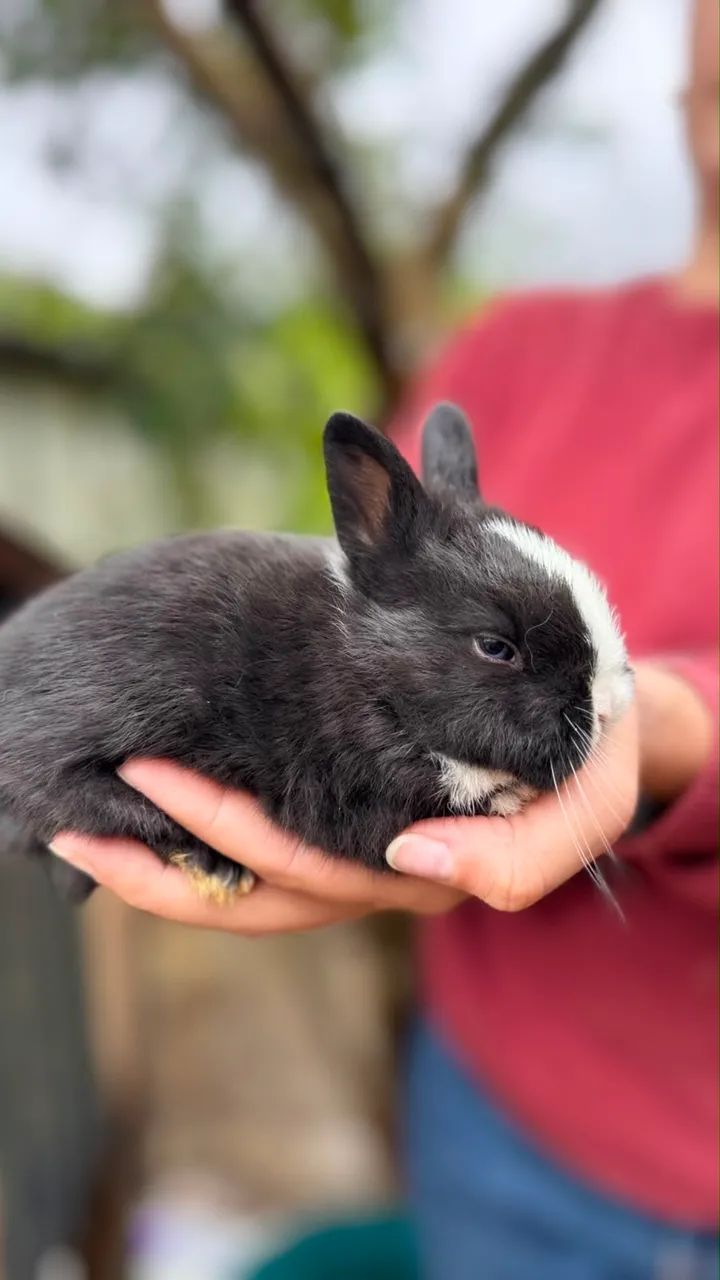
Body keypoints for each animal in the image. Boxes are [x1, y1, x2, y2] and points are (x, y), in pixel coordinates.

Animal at [0, 404, 633, 905]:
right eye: (496, 647)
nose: (608, 705)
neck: (361, 664)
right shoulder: (349, 790)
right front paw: (506, 793)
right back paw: (213, 865)